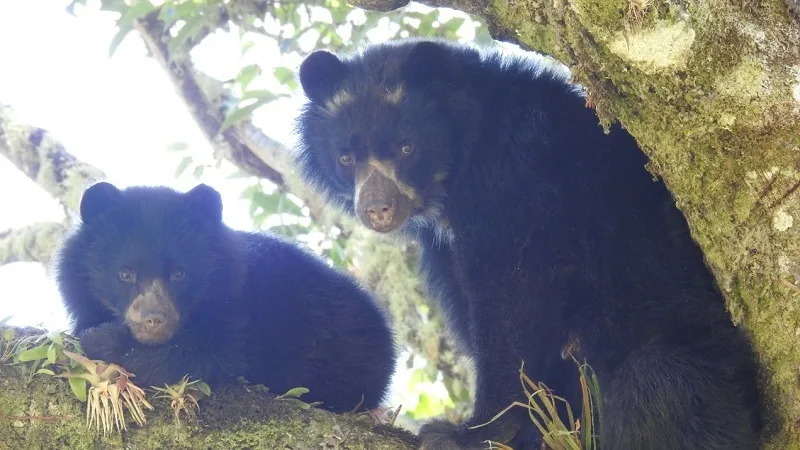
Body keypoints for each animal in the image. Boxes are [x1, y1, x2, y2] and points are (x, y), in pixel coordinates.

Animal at [54, 181, 398, 414]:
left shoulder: (250, 312)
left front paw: (100, 340)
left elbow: (213, 352)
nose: (154, 320)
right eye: (125, 274)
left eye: (179, 273)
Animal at [294, 39, 764, 450]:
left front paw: (470, 431)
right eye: (345, 157)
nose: (377, 209)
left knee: (661, 386)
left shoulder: (516, 183)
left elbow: (513, 296)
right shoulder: (444, 247)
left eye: (406, 147)